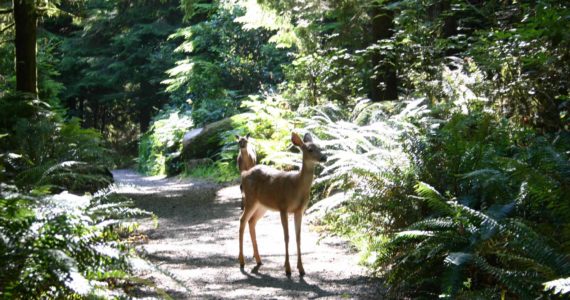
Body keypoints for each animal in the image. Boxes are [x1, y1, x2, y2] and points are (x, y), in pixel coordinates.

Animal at [236, 131, 326, 276]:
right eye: (310, 149)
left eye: (319, 146)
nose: (325, 157)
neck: (297, 186)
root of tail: (244, 174)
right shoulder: (283, 206)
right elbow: (286, 236)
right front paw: (288, 268)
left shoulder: (299, 210)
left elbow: (298, 237)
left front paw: (301, 269)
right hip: (250, 199)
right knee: (242, 220)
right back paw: (242, 261)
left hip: (262, 205)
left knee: (252, 221)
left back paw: (258, 259)